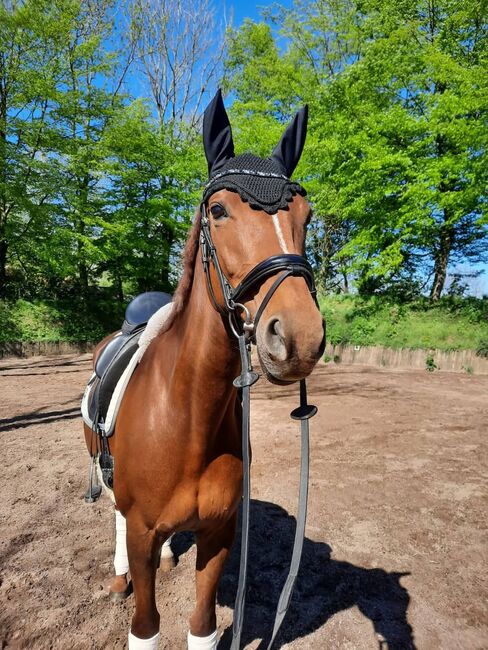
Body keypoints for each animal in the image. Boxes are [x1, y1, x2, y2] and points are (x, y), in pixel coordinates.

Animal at [83, 91, 328, 648]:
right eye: (218, 211)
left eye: (306, 215)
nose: (299, 338)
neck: (186, 419)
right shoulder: (142, 529)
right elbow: (146, 630)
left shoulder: (219, 533)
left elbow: (202, 628)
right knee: (115, 515)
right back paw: (118, 575)